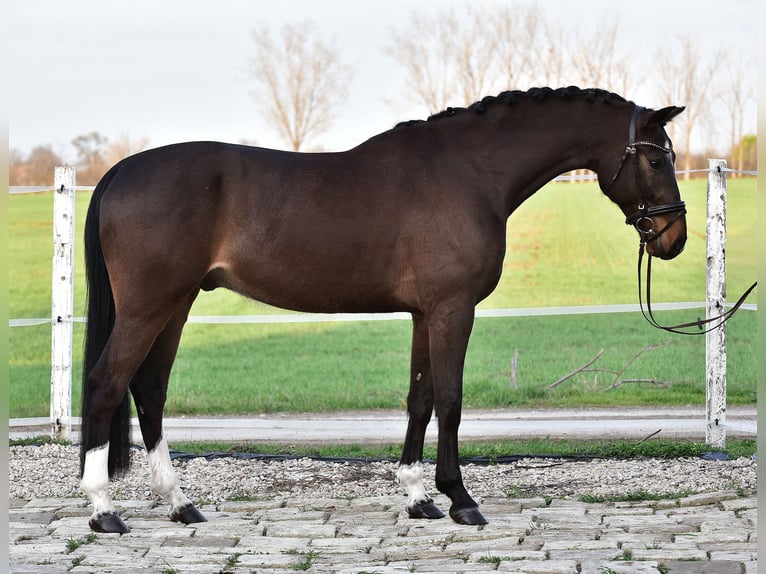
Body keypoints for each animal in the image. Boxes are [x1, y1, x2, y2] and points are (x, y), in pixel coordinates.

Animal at [79, 86, 687, 533]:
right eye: (657, 157)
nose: (674, 238)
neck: (468, 172)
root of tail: (120, 171)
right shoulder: (452, 309)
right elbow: (451, 399)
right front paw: (460, 499)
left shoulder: (425, 313)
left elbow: (421, 398)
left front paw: (419, 499)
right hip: (148, 307)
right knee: (107, 382)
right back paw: (104, 511)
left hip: (176, 304)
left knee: (150, 389)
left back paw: (180, 504)